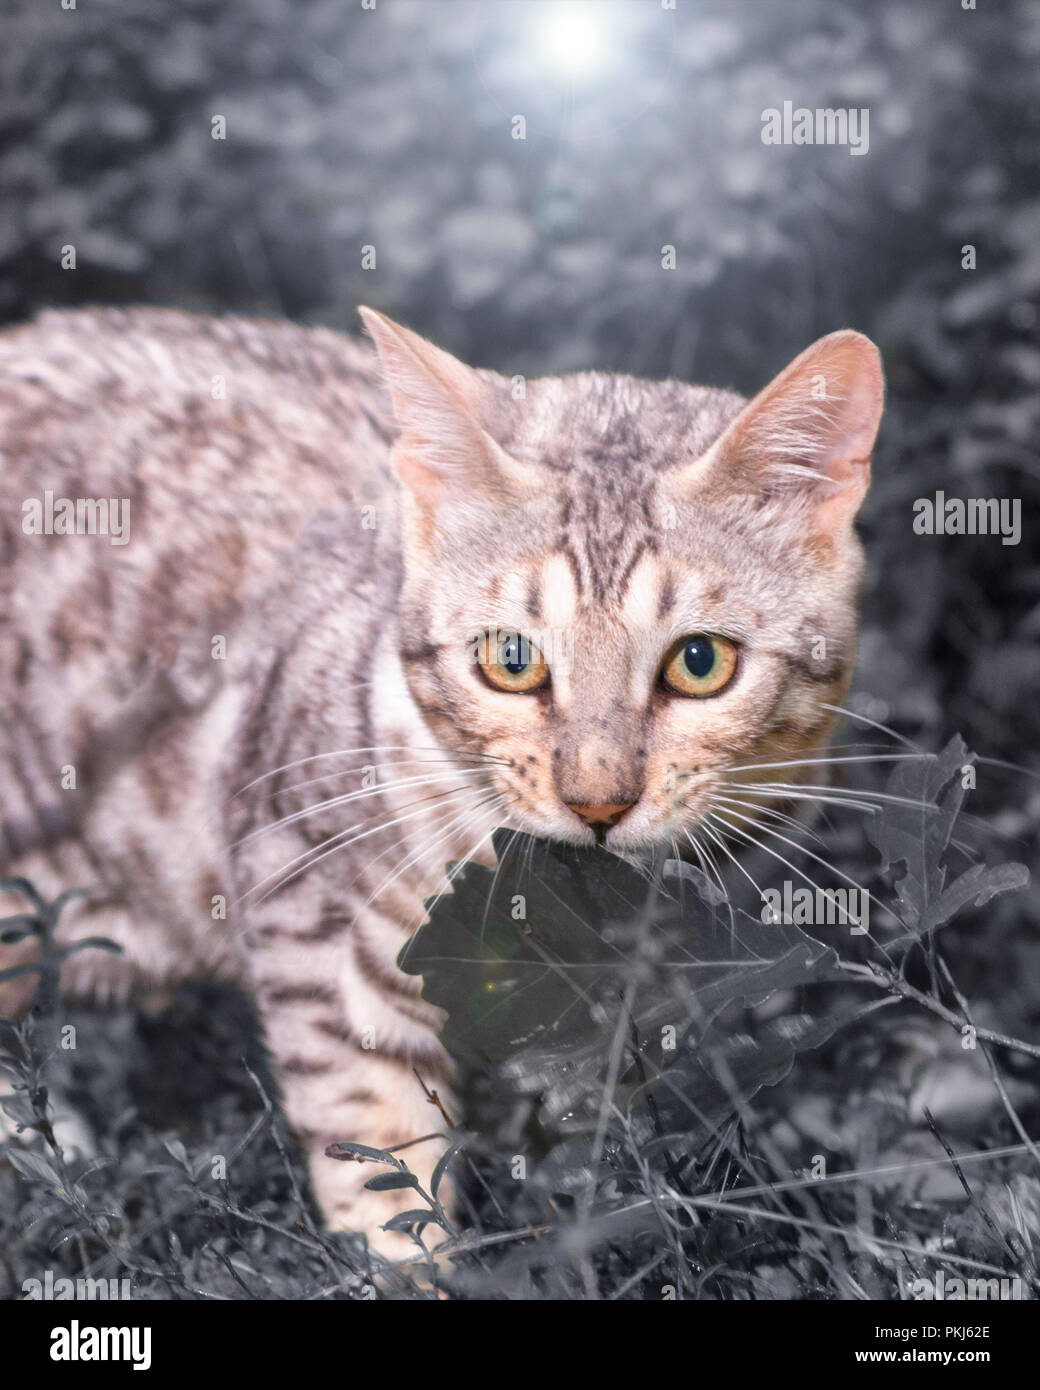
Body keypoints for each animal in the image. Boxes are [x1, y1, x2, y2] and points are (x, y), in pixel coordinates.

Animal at [0, 304, 884, 1262]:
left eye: (699, 663)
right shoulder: (312, 904)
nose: (598, 801)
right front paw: (408, 1264)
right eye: (511, 658)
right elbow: (377, 1141)